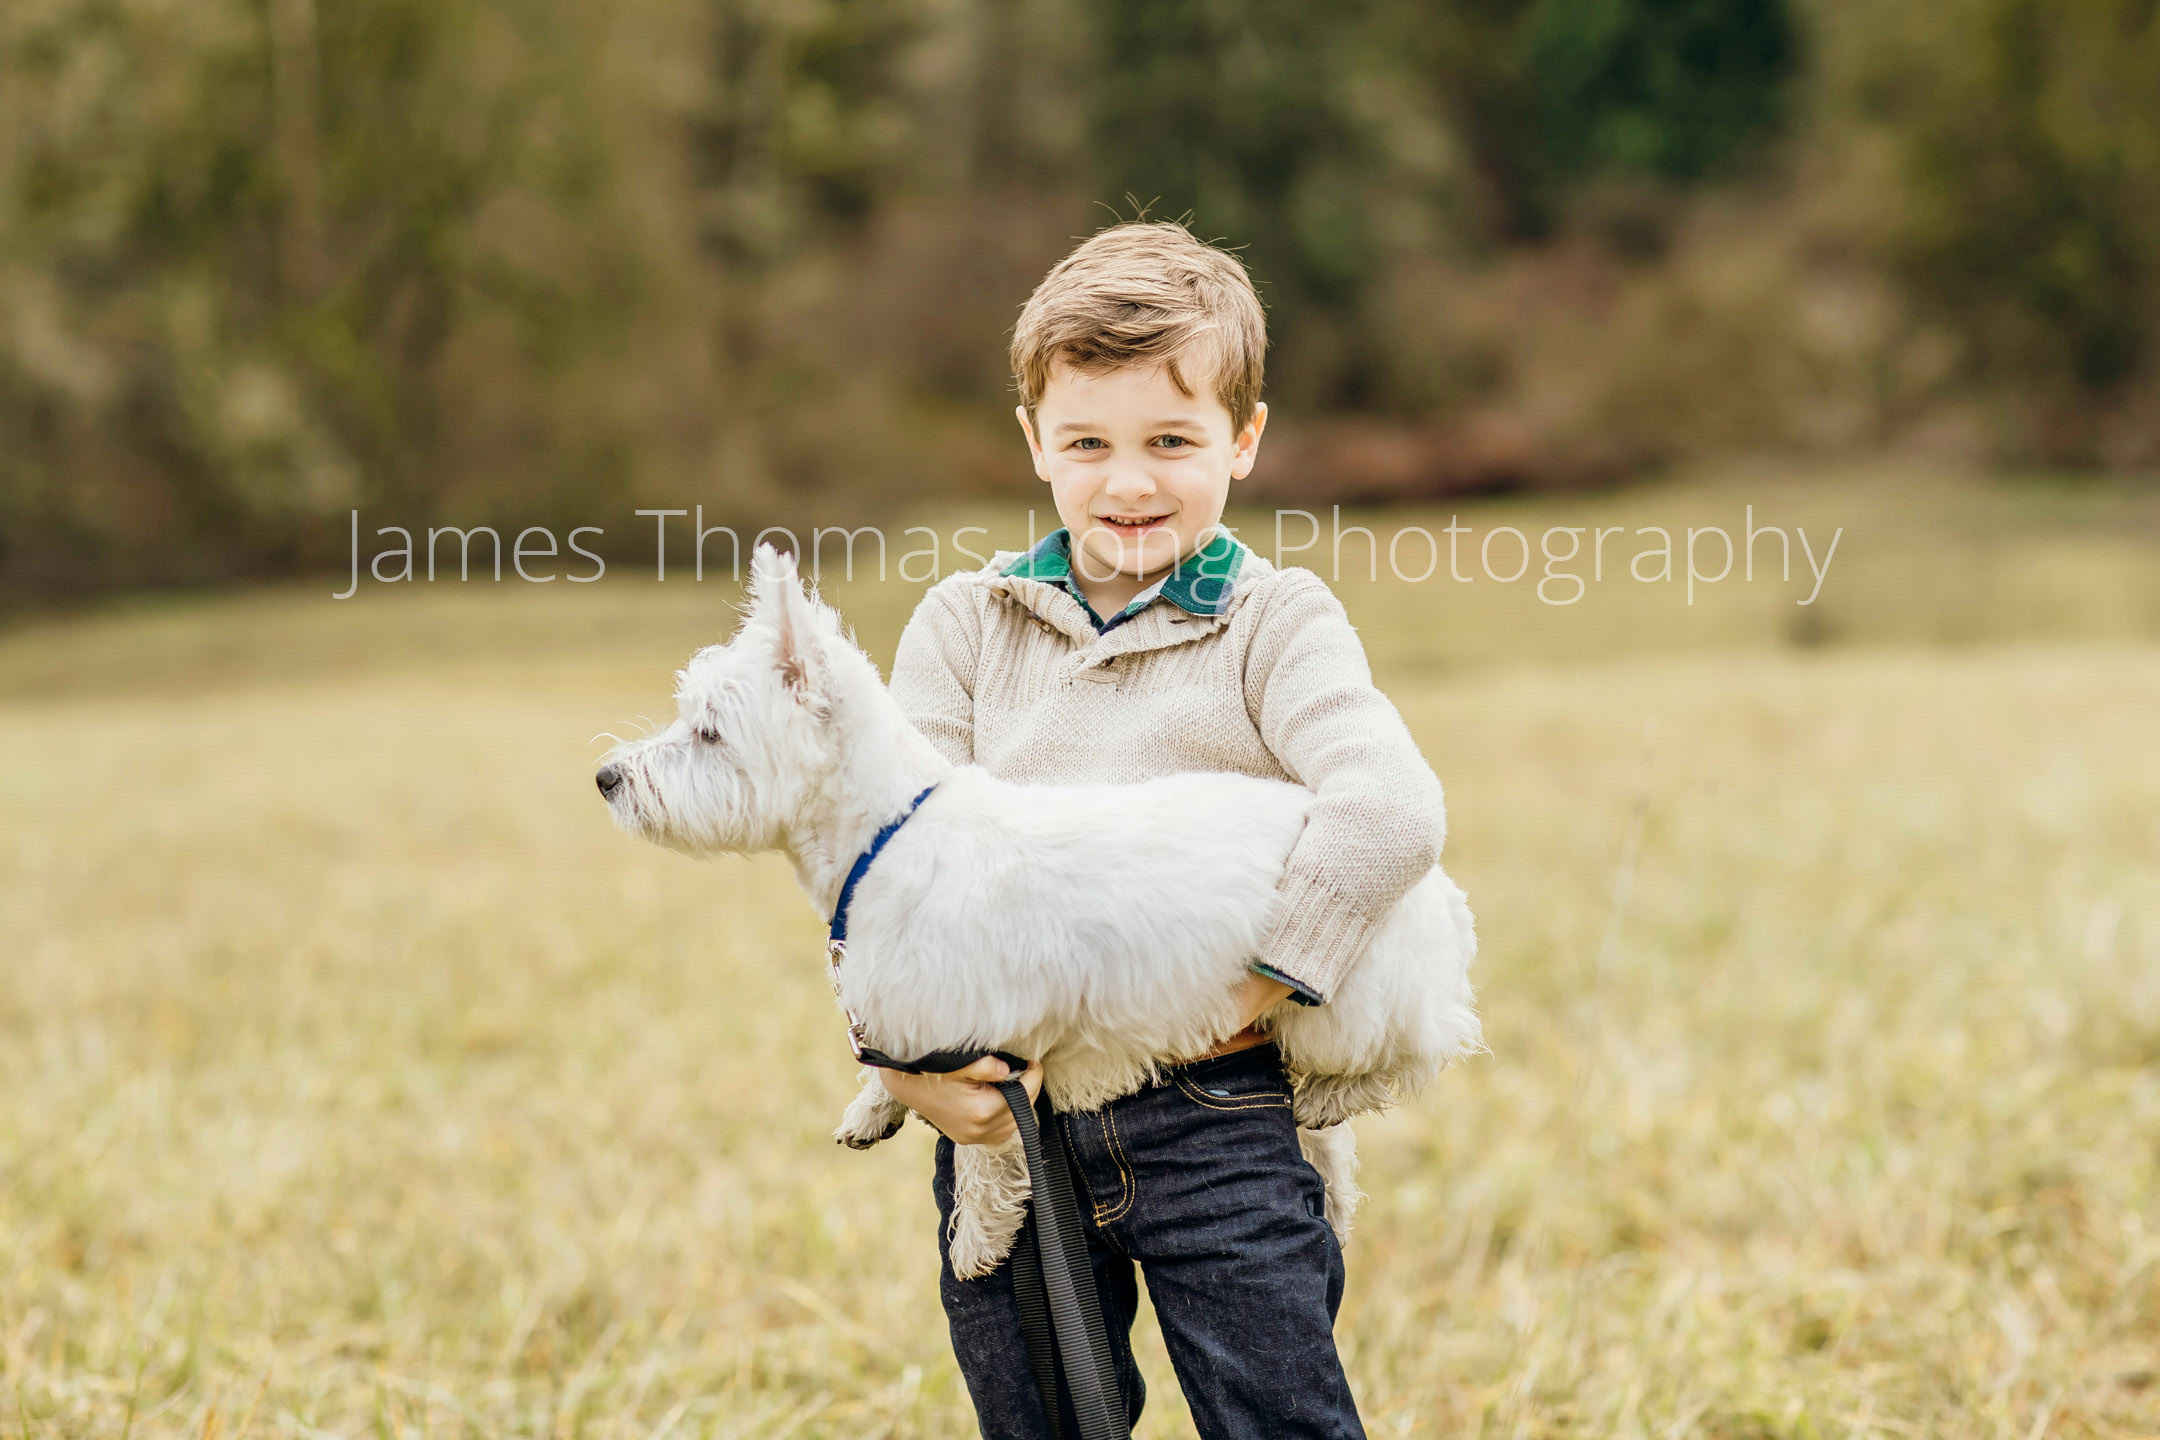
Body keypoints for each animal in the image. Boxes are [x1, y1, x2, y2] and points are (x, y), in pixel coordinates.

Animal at [596, 546, 1486, 1278]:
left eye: (709, 733)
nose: (606, 777)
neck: (886, 836)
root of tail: (1433, 881)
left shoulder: (989, 1046)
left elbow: (986, 1163)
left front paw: (977, 1243)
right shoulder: (912, 1017)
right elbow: (887, 1066)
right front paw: (872, 1107)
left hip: (1346, 996)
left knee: (1414, 1052)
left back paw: (1334, 1094)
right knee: (1335, 1139)